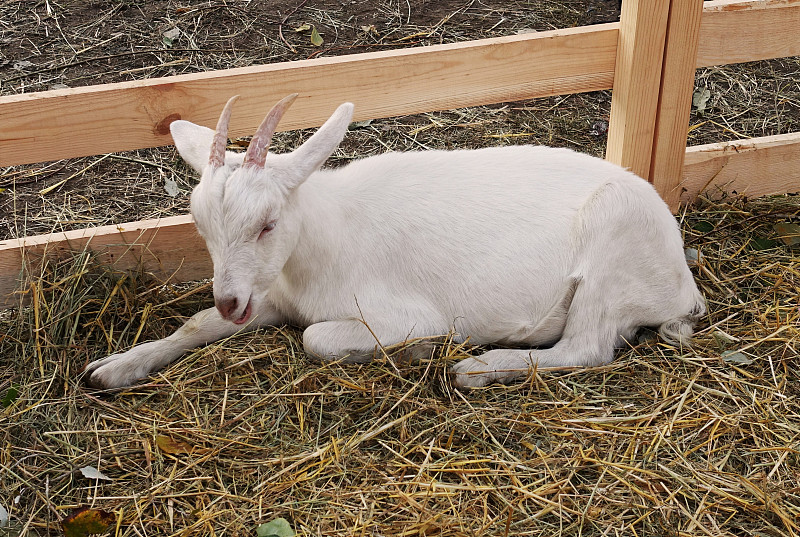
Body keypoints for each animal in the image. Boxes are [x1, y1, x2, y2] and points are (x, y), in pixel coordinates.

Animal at [83, 95, 708, 390]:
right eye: (201, 224)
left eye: (266, 224)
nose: (230, 300)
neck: (324, 239)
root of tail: (683, 287)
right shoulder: (270, 295)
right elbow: (194, 325)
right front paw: (114, 368)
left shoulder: (404, 314)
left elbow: (314, 339)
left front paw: (417, 352)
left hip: (610, 256)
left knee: (587, 348)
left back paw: (482, 367)